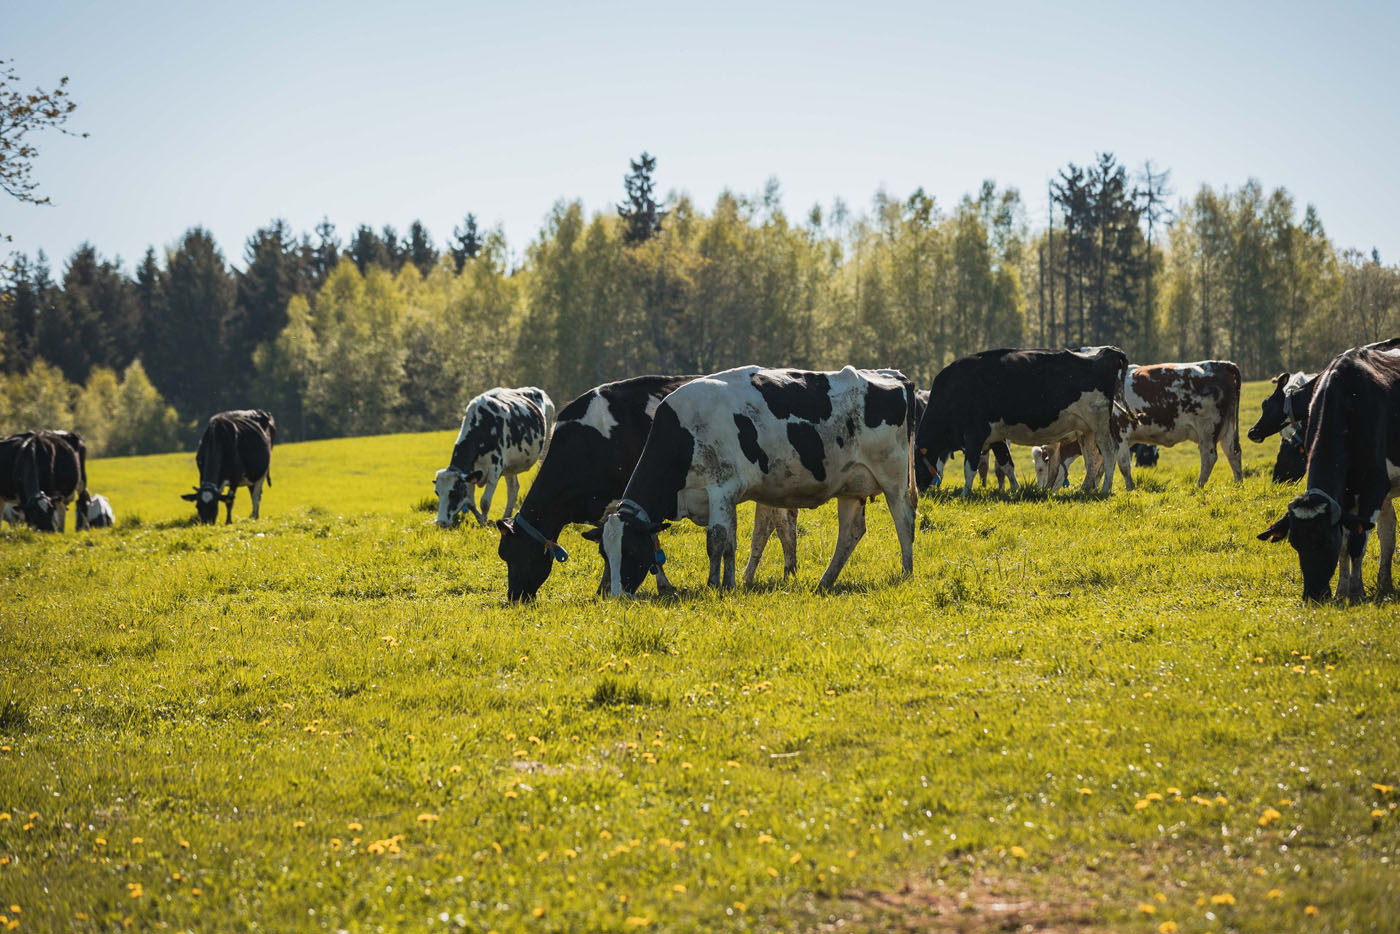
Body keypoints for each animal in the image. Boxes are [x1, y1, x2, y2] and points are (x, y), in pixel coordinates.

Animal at [434, 386, 554, 526]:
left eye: (453, 493)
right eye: (437, 492)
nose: (440, 522)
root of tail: (539, 391)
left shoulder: (495, 469)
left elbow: (484, 502)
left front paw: (484, 524)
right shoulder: (471, 472)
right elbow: (470, 502)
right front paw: (482, 520)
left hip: (546, 444)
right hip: (510, 465)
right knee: (513, 489)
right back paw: (506, 516)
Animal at [495, 375, 800, 602]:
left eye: (516, 553)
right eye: (503, 555)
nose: (515, 597)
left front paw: (654, 585)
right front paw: (608, 586)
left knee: (775, 526)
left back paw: (781, 572)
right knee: (774, 524)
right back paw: (768, 574)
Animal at [588, 364, 918, 590]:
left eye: (631, 550)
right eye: (604, 553)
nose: (614, 595)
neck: (684, 431)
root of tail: (894, 376)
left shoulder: (720, 487)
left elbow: (716, 540)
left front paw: (713, 585)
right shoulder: (726, 496)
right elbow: (730, 542)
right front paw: (729, 583)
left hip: (894, 477)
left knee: (904, 520)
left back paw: (906, 573)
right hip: (851, 486)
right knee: (850, 533)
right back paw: (825, 582)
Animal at [912, 347, 1131, 495]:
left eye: (914, 466)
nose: (920, 491)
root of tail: (1108, 350)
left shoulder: (975, 434)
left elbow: (969, 468)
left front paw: (965, 494)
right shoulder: (996, 437)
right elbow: (1006, 464)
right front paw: (1015, 490)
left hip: (1100, 424)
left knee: (1109, 454)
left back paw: (1105, 489)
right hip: (1086, 430)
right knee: (1091, 459)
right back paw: (1086, 488)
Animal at [1260, 341, 1400, 599]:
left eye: (1325, 541)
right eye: (1294, 543)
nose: (1313, 595)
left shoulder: (1374, 487)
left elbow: (1356, 542)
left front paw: (1356, 591)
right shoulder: (1346, 494)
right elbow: (1346, 544)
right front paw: (1341, 591)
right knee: (1388, 530)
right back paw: (1385, 582)